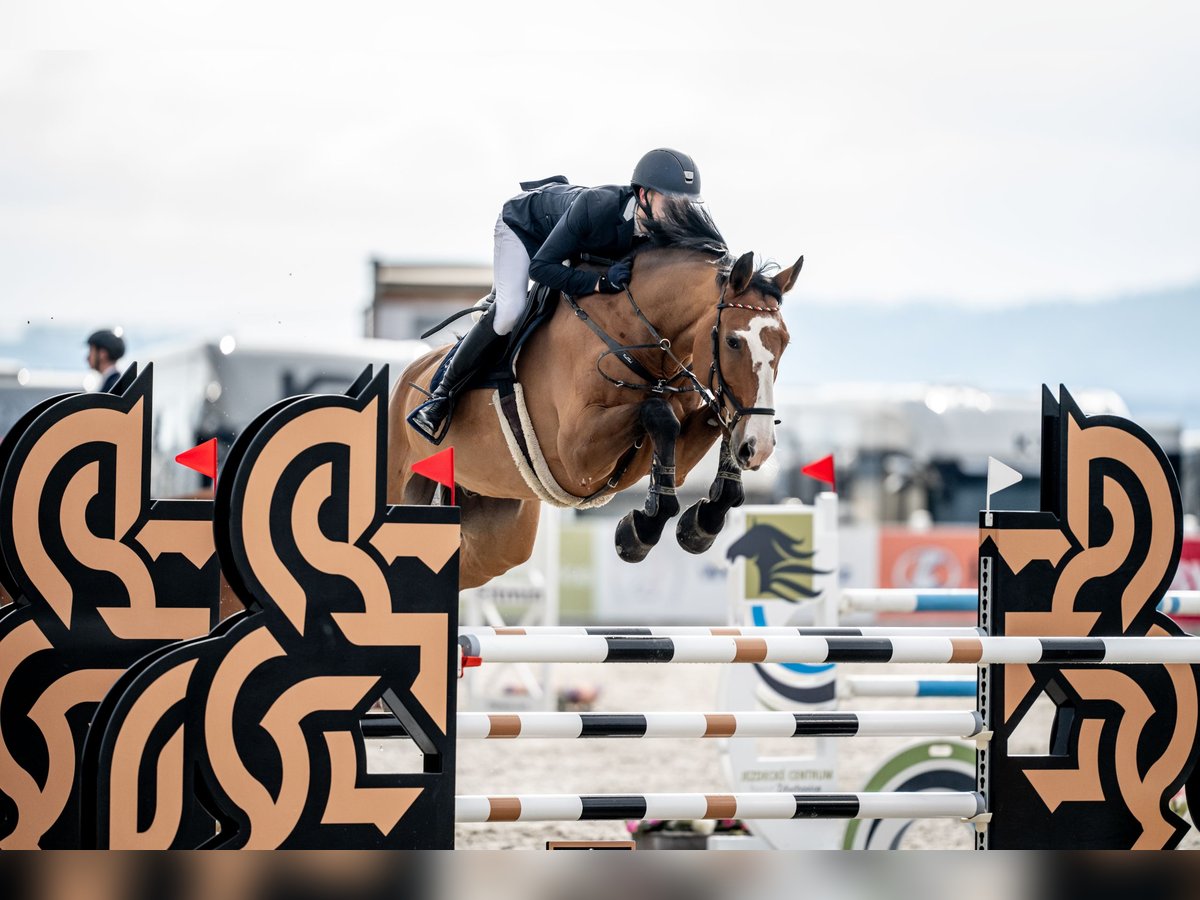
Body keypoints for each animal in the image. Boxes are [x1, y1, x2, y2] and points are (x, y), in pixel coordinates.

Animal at [384, 207, 796, 595]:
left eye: (784, 342)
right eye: (733, 341)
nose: (759, 447)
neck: (633, 339)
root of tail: (408, 374)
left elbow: (707, 423)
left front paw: (702, 522)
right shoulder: (576, 455)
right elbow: (659, 413)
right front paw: (641, 528)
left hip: (498, 533)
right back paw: (431, 411)